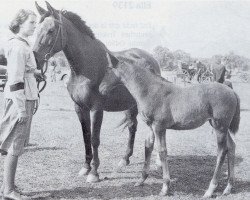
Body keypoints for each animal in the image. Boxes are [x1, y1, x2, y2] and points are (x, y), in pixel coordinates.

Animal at [109, 57, 240, 198]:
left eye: (107, 69)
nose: (100, 88)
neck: (151, 90)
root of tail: (232, 91)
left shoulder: (159, 127)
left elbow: (162, 151)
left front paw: (165, 187)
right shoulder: (151, 127)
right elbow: (148, 147)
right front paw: (141, 179)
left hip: (219, 127)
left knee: (222, 152)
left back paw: (210, 190)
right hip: (221, 127)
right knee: (231, 147)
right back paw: (228, 187)